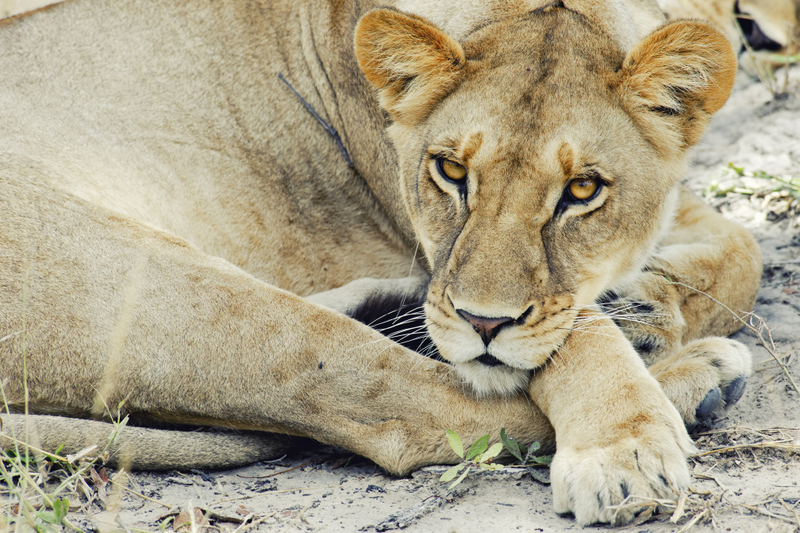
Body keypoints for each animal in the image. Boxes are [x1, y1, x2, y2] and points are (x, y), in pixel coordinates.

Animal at [0, 0, 761, 526]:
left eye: (582, 190)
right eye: (450, 171)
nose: (484, 322)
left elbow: (742, 250)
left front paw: (650, 302)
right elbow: (574, 332)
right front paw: (623, 446)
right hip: (166, 290)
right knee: (413, 406)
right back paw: (694, 379)